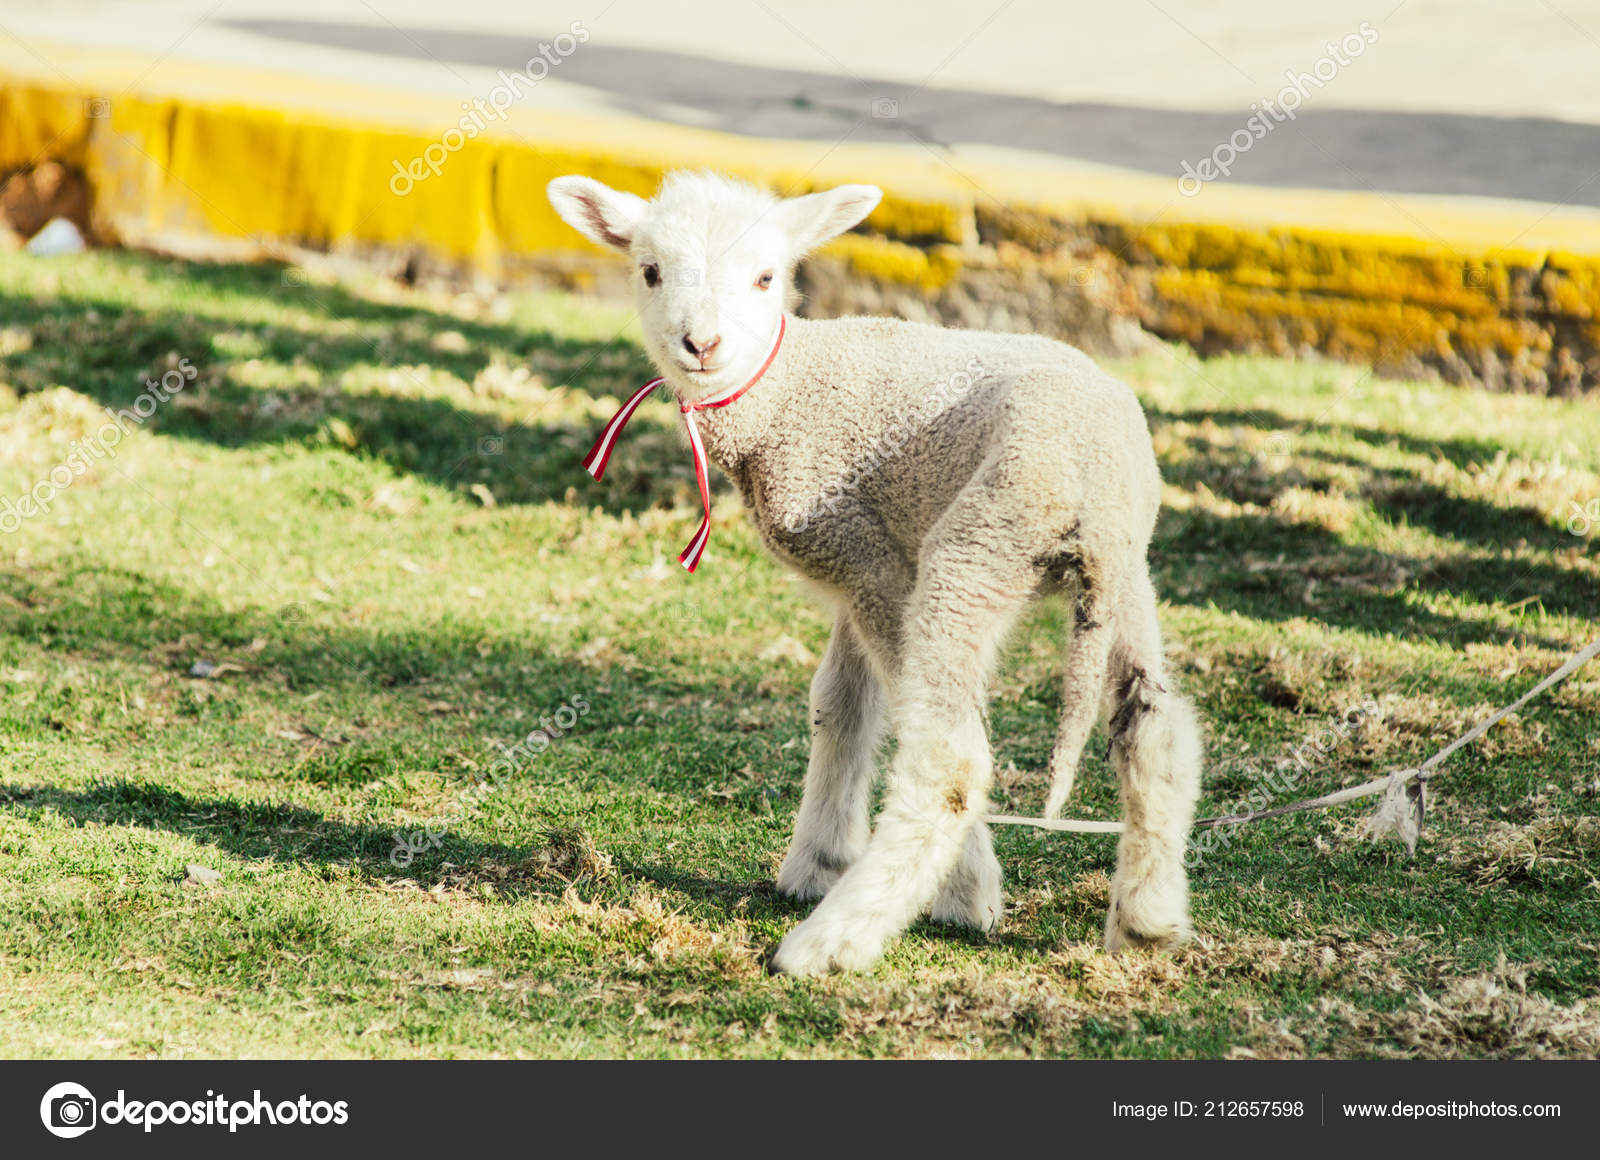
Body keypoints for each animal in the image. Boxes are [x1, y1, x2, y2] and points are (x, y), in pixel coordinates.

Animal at [547, 170, 1203, 975]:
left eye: (766, 278)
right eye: (649, 271)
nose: (702, 344)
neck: (784, 394)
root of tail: (1096, 487)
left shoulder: (873, 565)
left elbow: (880, 714)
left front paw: (964, 894)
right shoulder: (856, 559)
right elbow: (840, 705)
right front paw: (816, 861)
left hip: (978, 545)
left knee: (952, 762)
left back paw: (831, 941)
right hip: (1126, 572)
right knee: (1154, 727)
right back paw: (1146, 921)